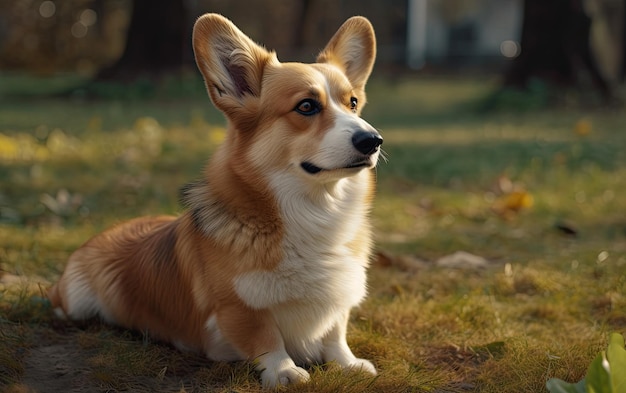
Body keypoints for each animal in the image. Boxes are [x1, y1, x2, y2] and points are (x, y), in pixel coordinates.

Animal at [48, 13, 380, 388]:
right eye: (307, 106)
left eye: (353, 104)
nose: (373, 140)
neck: (315, 211)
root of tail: (113, 227)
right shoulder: (238, 308)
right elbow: (266, 337)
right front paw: (283, 371)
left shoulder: (339, 300)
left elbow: (335, 332)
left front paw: (347, 363)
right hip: (76, 299)